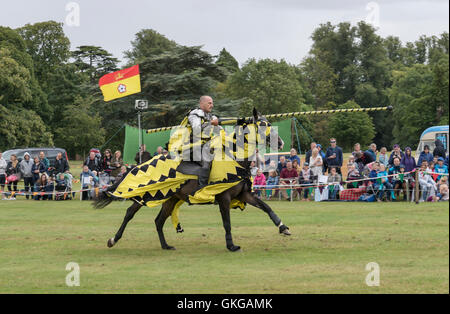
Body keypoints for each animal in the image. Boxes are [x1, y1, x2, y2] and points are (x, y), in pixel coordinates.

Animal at [94, 109, 292, 251]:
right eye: (262, 125)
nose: (281, 143)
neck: (233, 158)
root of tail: (139, 165)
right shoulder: (224, 198)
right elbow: (227, 223)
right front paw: (231, 245)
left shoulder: (244, 195)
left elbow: (266, 207)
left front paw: (283, 227)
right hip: (146, 194)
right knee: (129, 213)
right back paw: (113, 239)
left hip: (170, 198)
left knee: (158, 221)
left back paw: (165, 246)